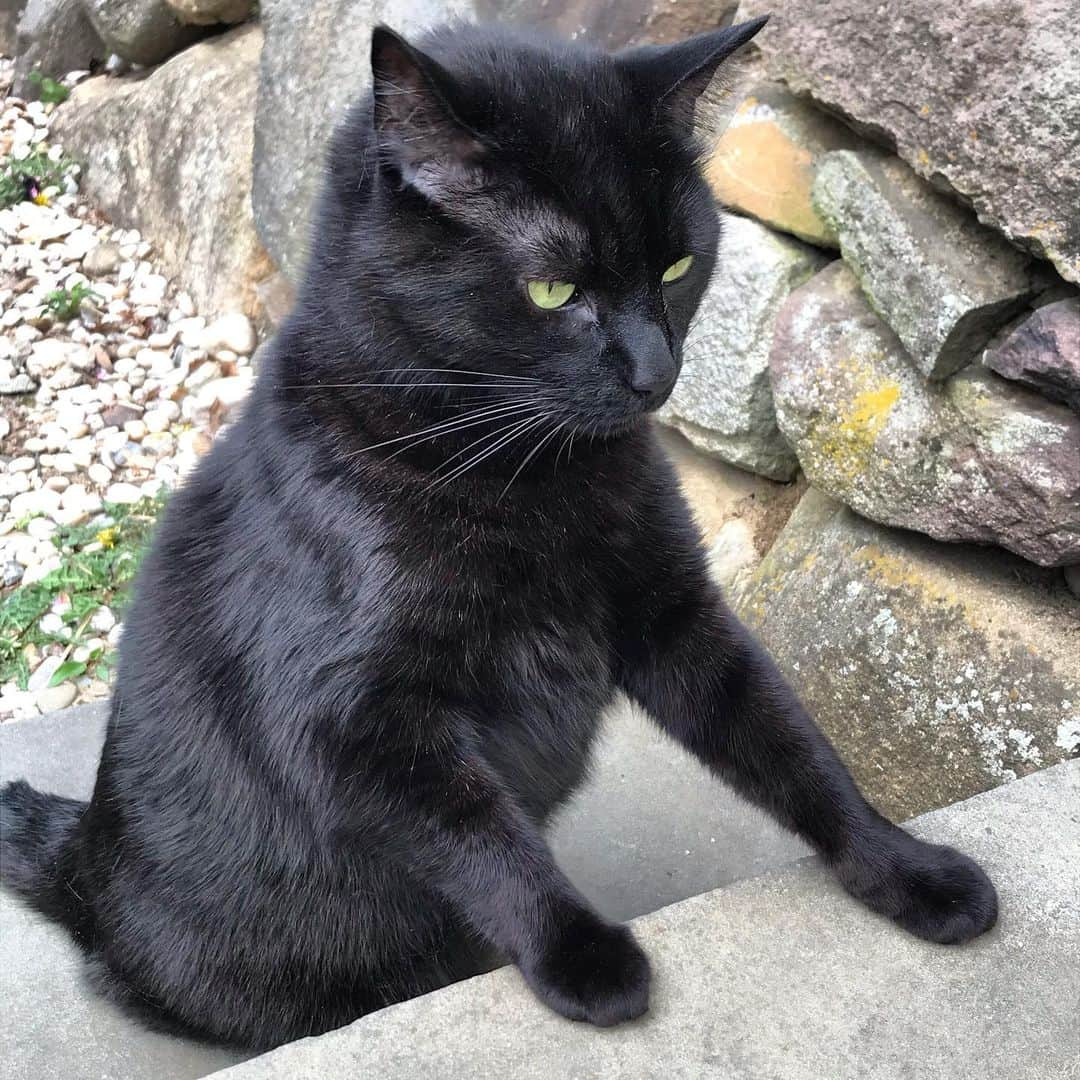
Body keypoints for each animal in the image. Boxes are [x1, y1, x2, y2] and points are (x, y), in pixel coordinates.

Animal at [0, 14, 993, 1045]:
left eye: (678, 267)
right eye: (554, 292)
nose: (656, 372)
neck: (522, 475)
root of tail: (84, 863)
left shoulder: (676, 613)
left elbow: (791, 744)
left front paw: (902, 865)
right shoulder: (351, 722)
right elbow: (482, 838)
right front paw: (583, 957)